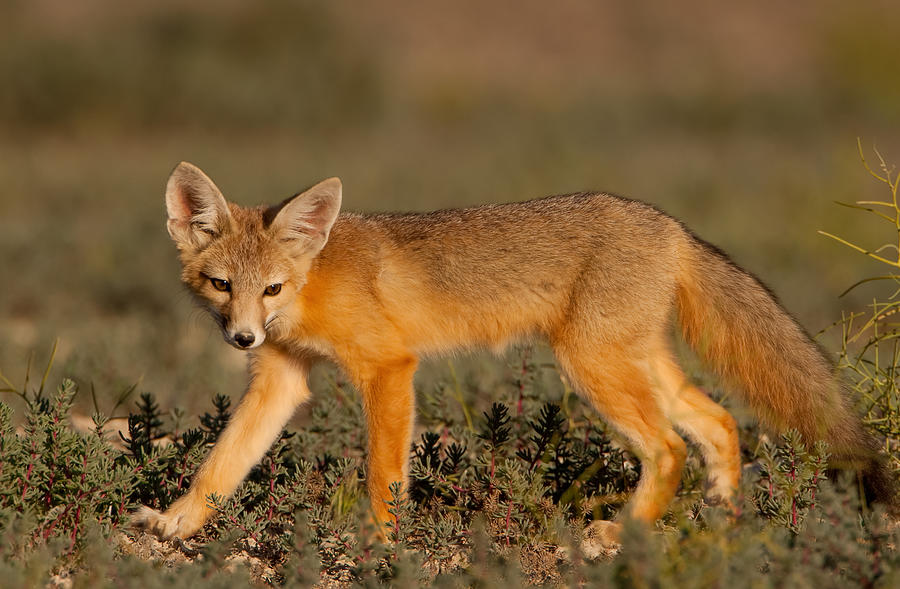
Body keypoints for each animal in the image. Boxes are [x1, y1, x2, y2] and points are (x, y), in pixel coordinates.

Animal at [137, 161, 896, 536]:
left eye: (271, 287)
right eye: (222, 285)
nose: (241, 335)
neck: (312, 285)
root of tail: (667, 224)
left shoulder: (388, 368)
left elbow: (383, 474)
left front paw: (379, 543)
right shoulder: (282, 376)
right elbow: (221, 465)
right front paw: (175, 524)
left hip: (592, 366)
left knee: (669, 447)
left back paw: (621, 535)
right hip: (635, 362)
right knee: (718, 423)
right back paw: (722, 518)